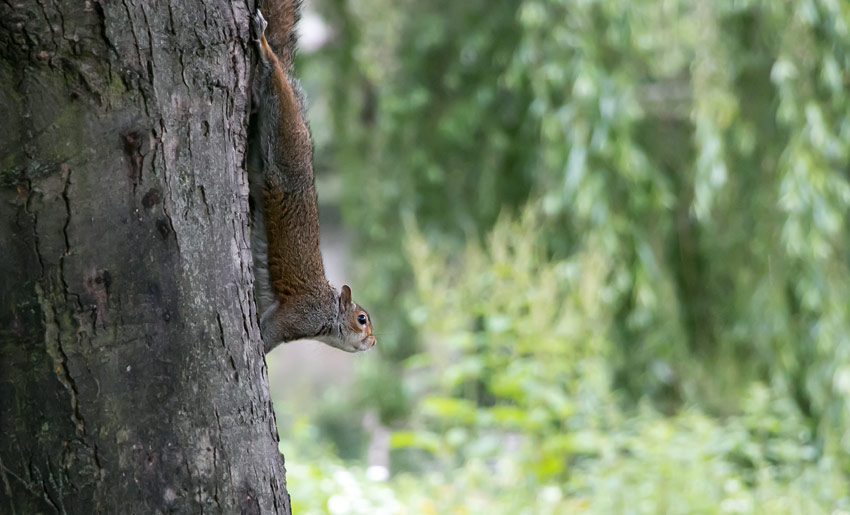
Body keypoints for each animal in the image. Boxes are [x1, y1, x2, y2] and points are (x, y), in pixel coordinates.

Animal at [247, 3, 376, 354]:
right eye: (362, 318)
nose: (374, 341)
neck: (328, 311)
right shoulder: (295, 315)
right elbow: (269, 333)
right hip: (284, 139)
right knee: (275, 74)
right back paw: (264, 44)